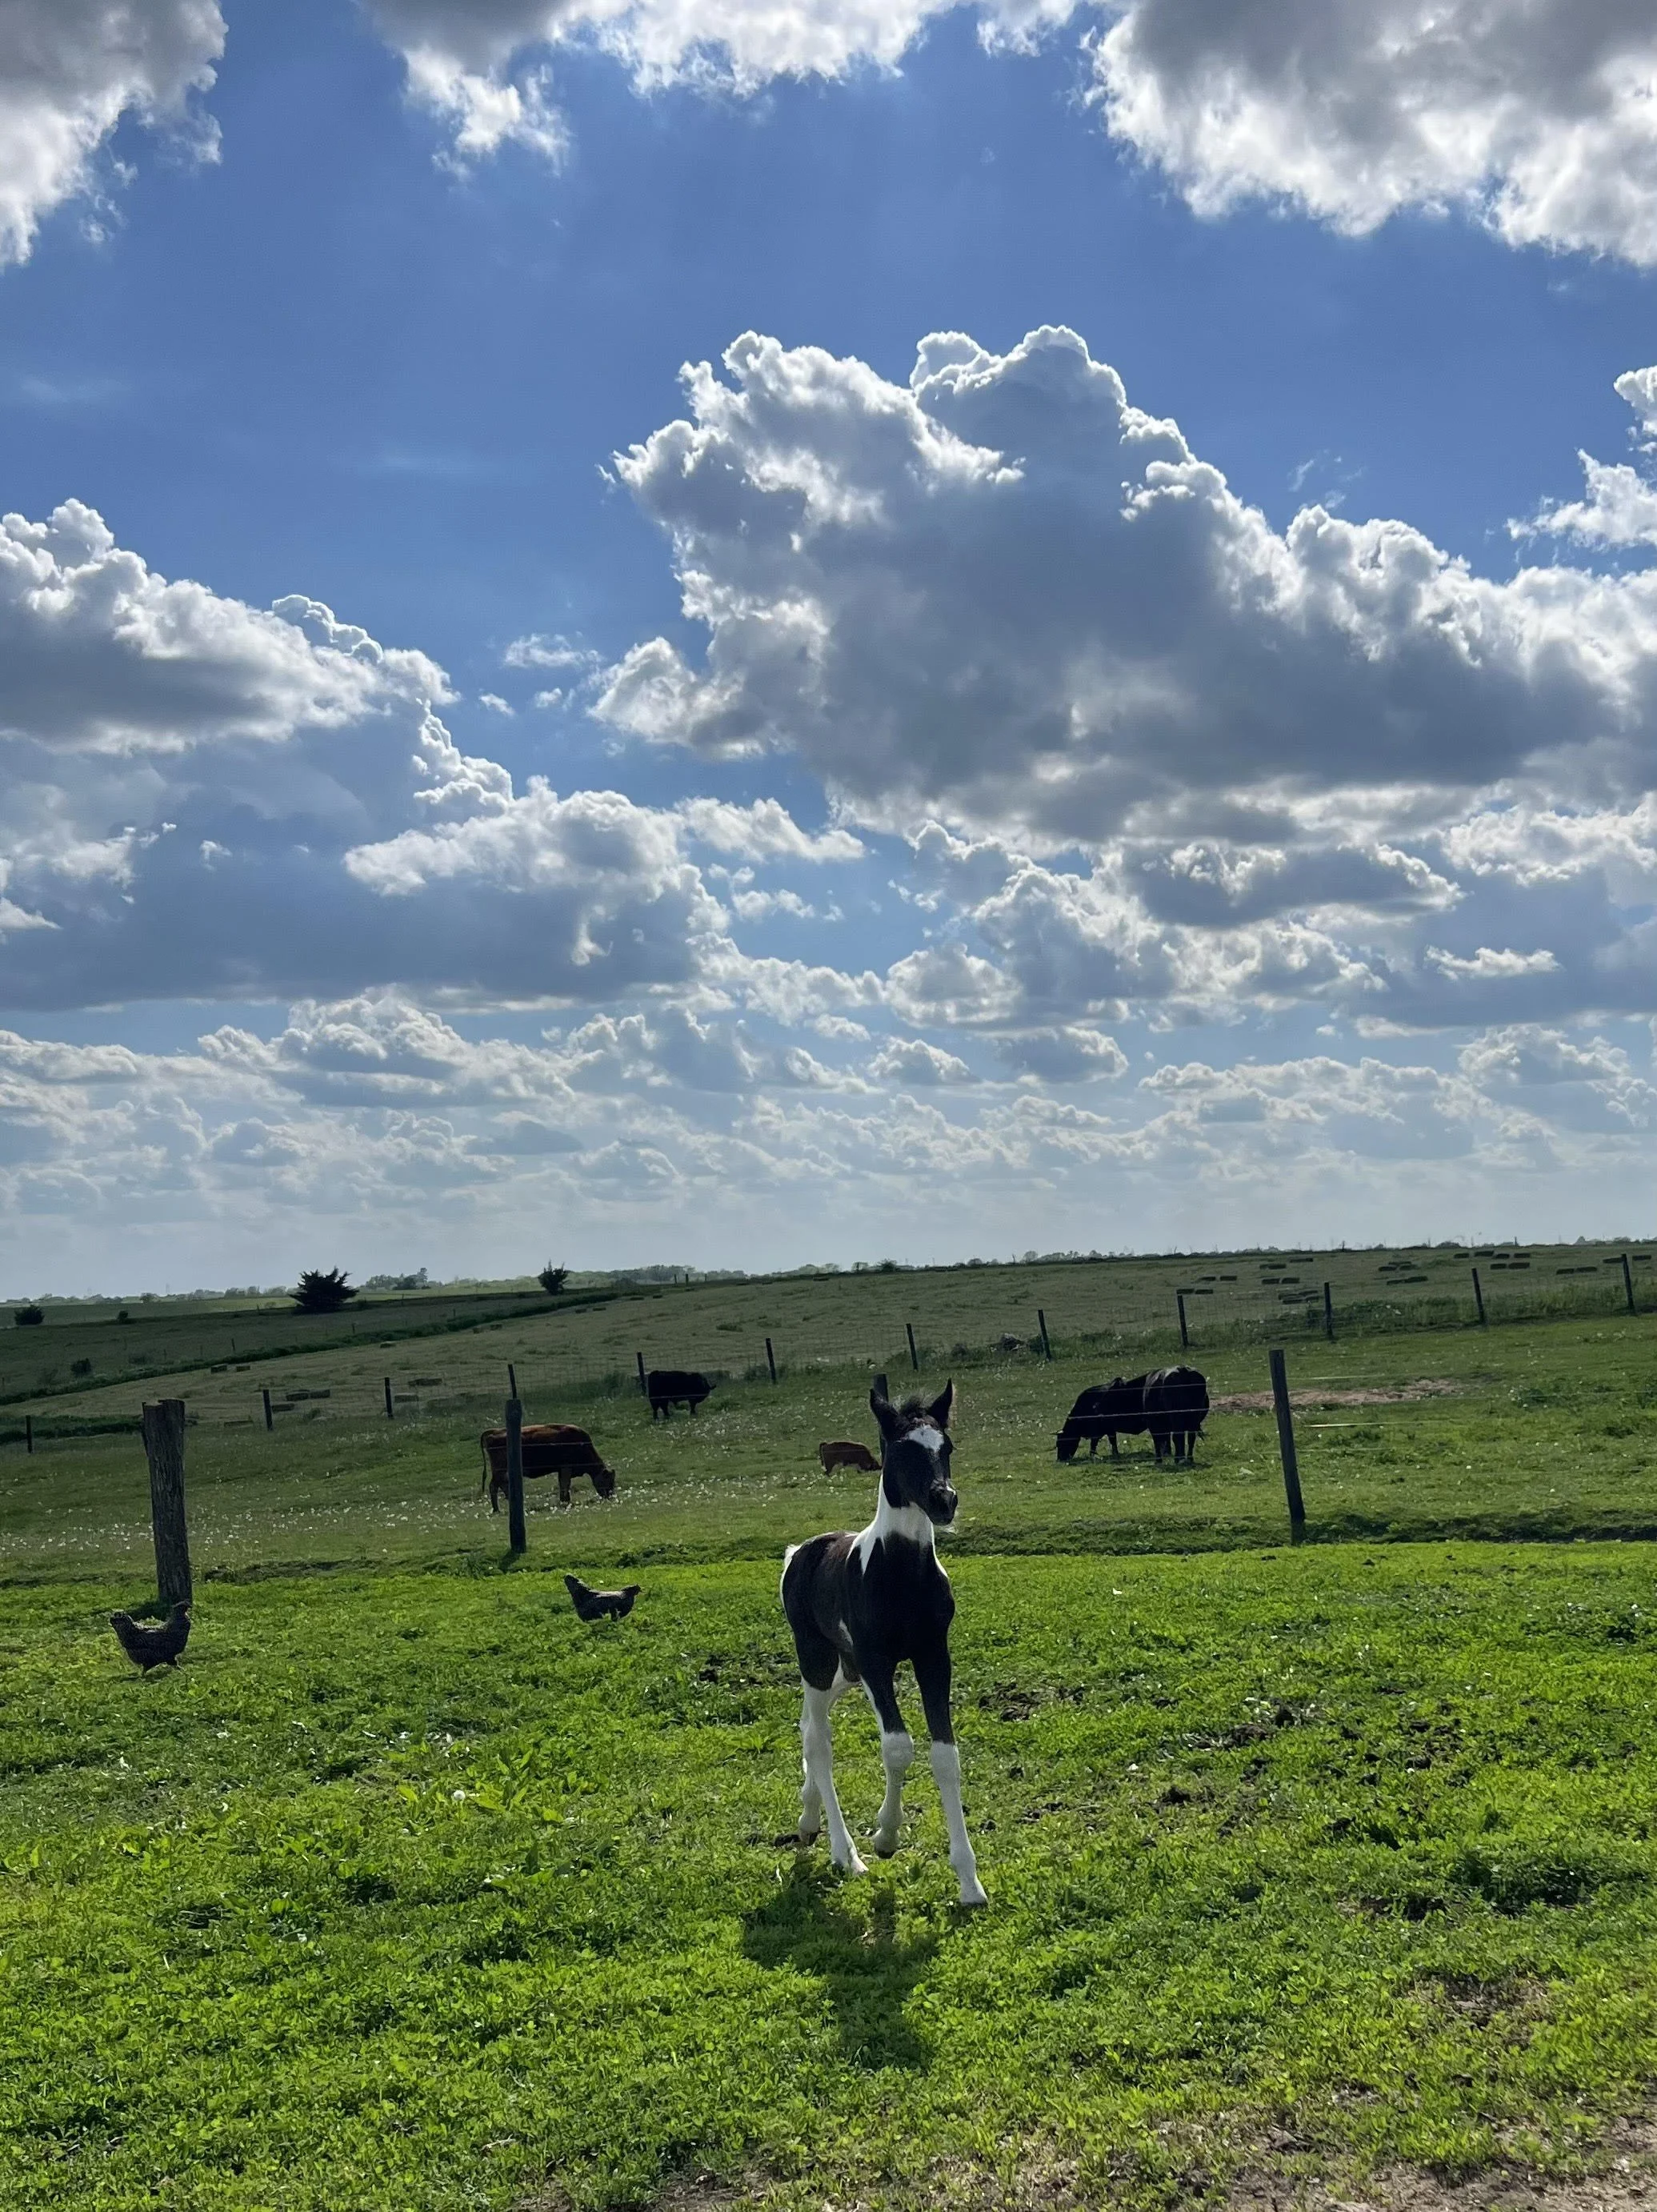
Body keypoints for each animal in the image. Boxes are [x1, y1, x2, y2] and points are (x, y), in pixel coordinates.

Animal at [780, 1378, 986, 1906]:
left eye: (946, 1448)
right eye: (900, 1451)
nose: (944, 1501)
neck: (902, 1573)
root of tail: (799, 1552)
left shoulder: (933, 1657)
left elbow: (945, 1755)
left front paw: (969, 1881)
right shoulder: (877, 1662)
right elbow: (897, 1748)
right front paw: (886, 1836)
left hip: (845, 1670)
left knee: (806, 1724)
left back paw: (808, 1819)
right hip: (818, 1659)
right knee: (818, 1739)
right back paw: (845, 1853)